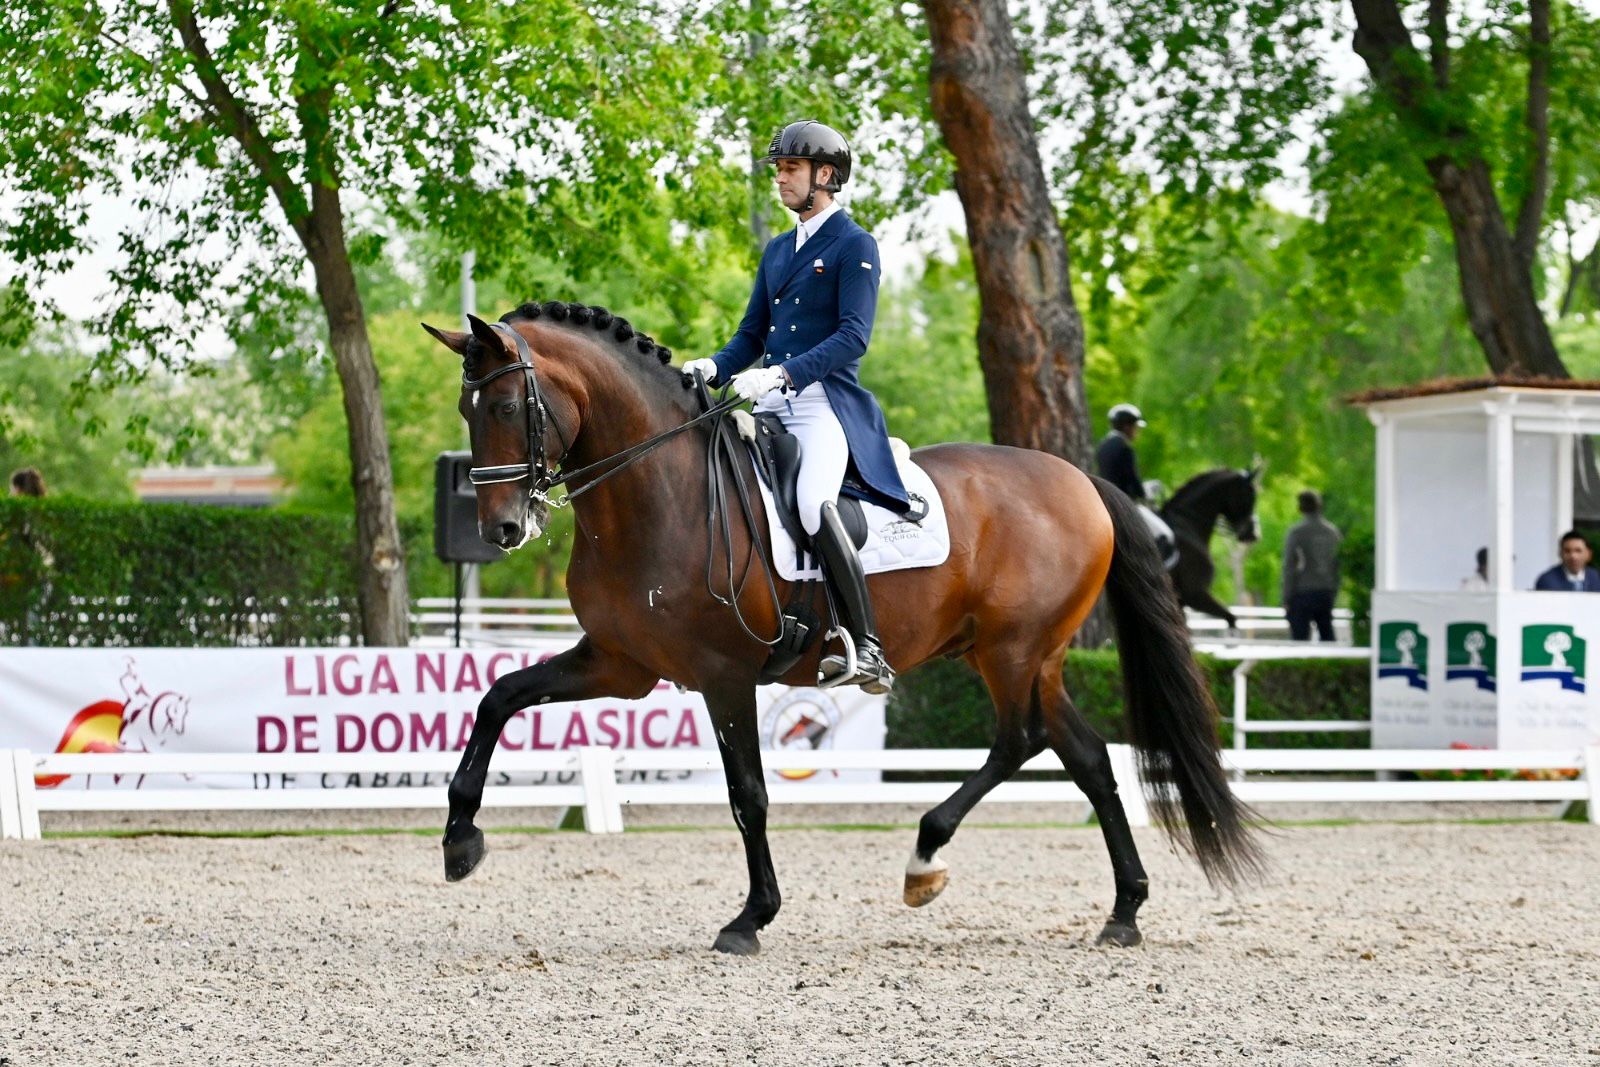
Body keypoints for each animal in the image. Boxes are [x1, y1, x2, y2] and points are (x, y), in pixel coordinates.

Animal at [1164, 470, 1260, 630]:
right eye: (1248, 497)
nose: (1252, 534)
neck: (1187, 526)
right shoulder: (1196, 595)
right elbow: (1231, 618)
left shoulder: (1181, 601)